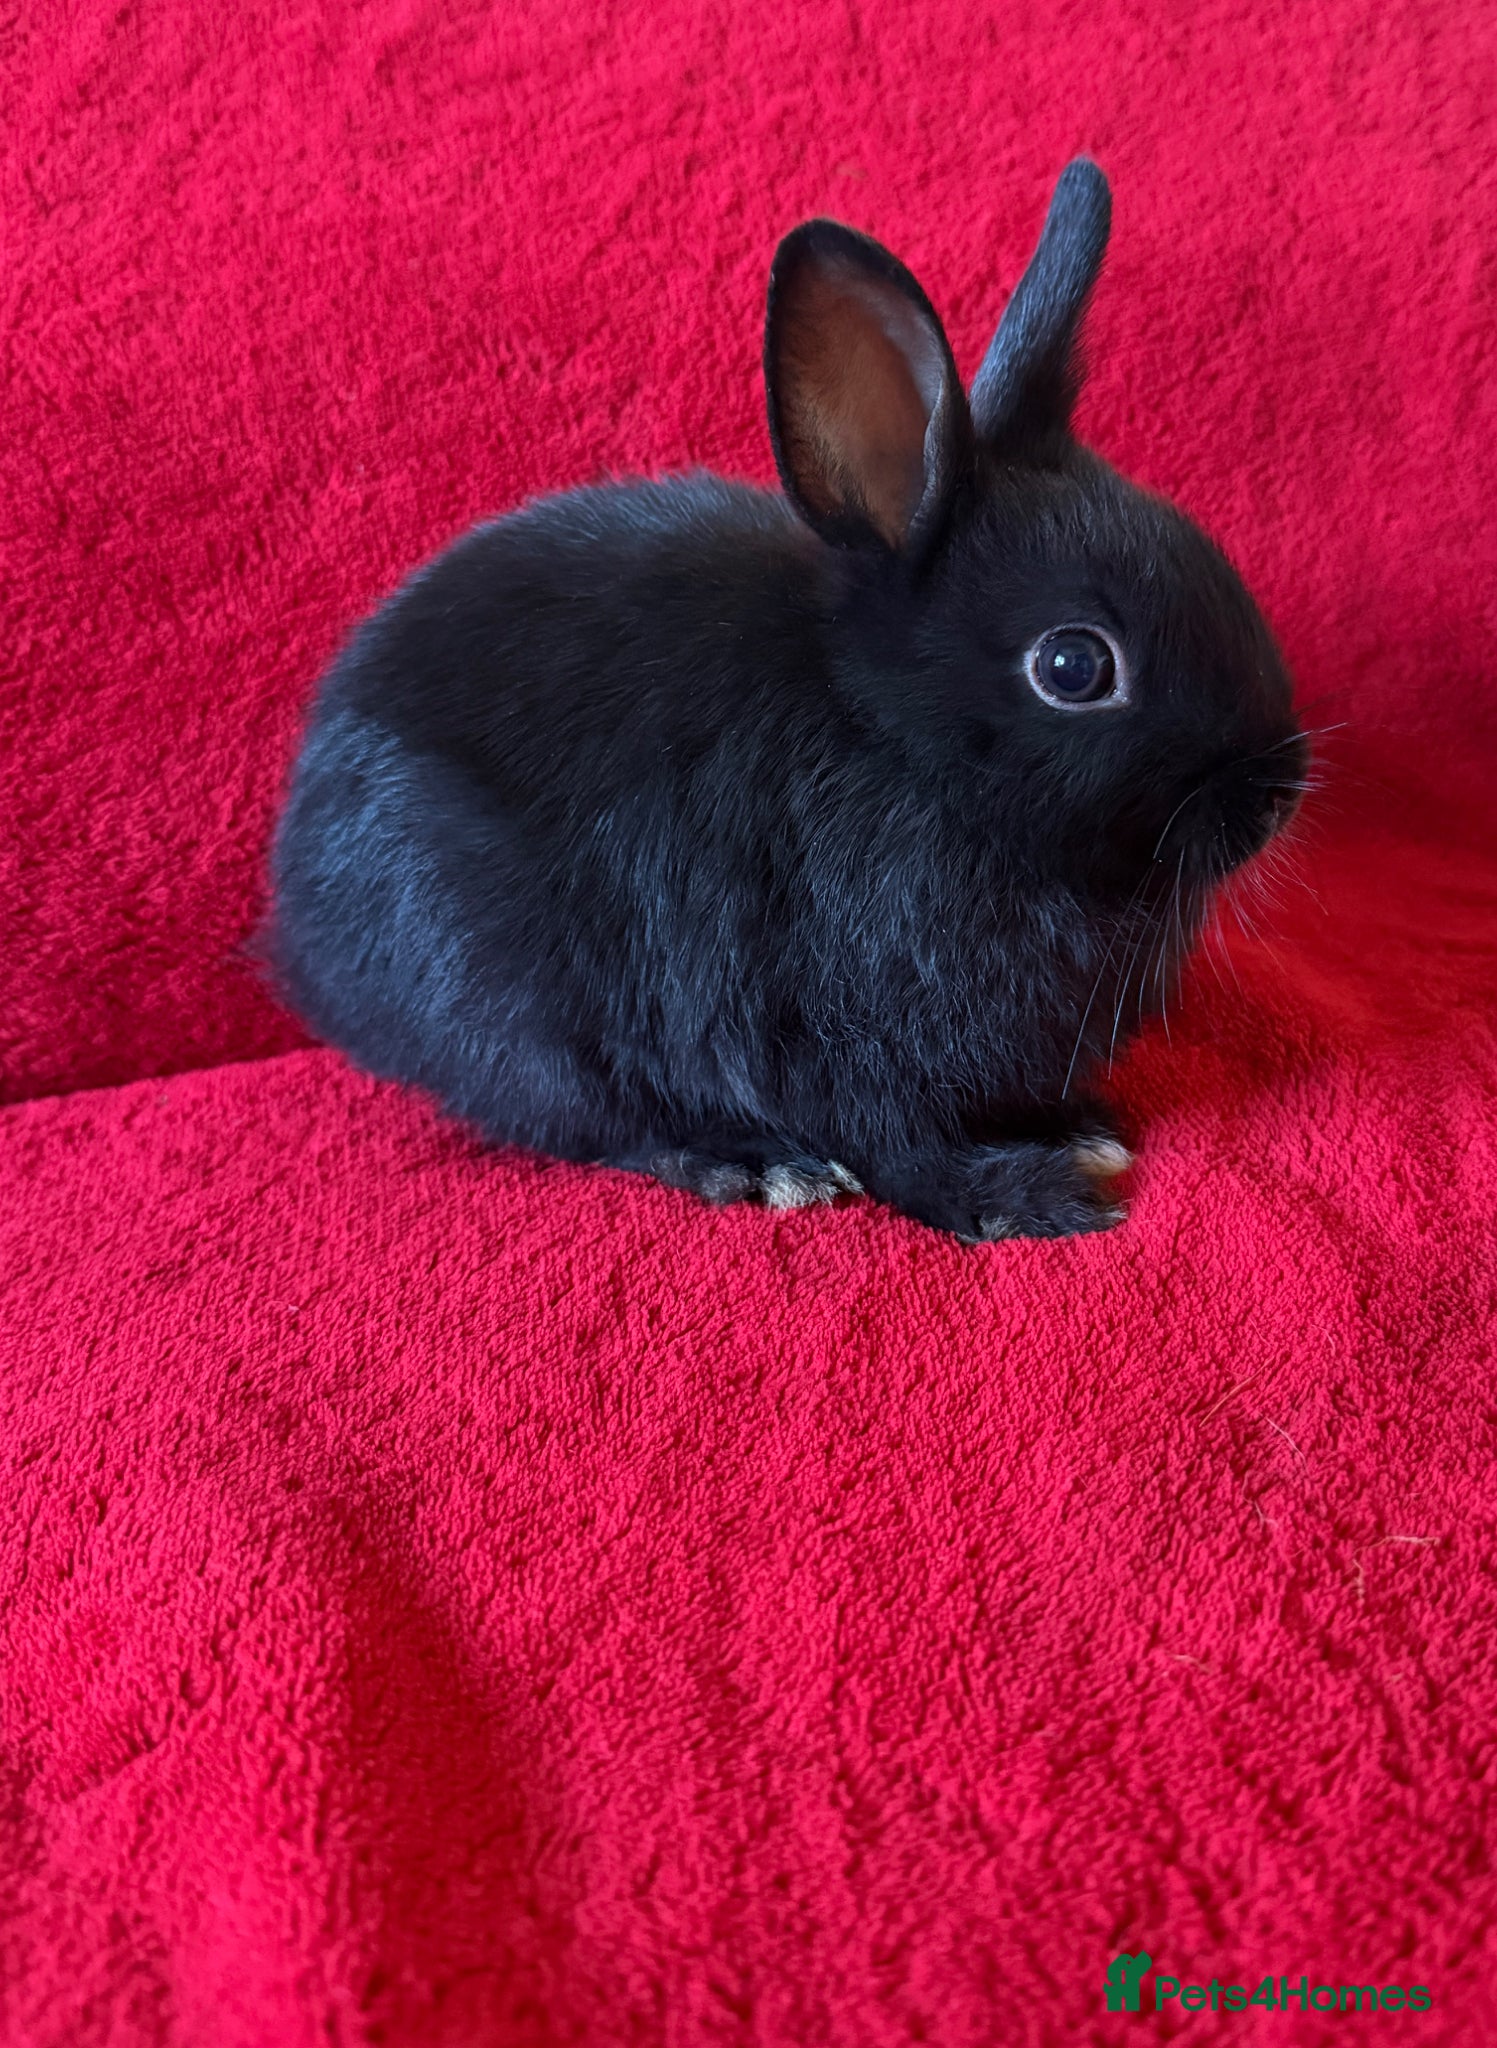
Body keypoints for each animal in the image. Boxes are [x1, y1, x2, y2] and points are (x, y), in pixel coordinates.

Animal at [270, 158, 1307, 1241]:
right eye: (1072, 667)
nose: (1278, 791)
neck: (897, 749)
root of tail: (300, 924)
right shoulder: (825, 1018)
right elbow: (898, 1145)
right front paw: (1033, 1195)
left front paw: (1080, 1123)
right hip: (505, 994)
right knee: (593, 1121)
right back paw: (749, 1163)